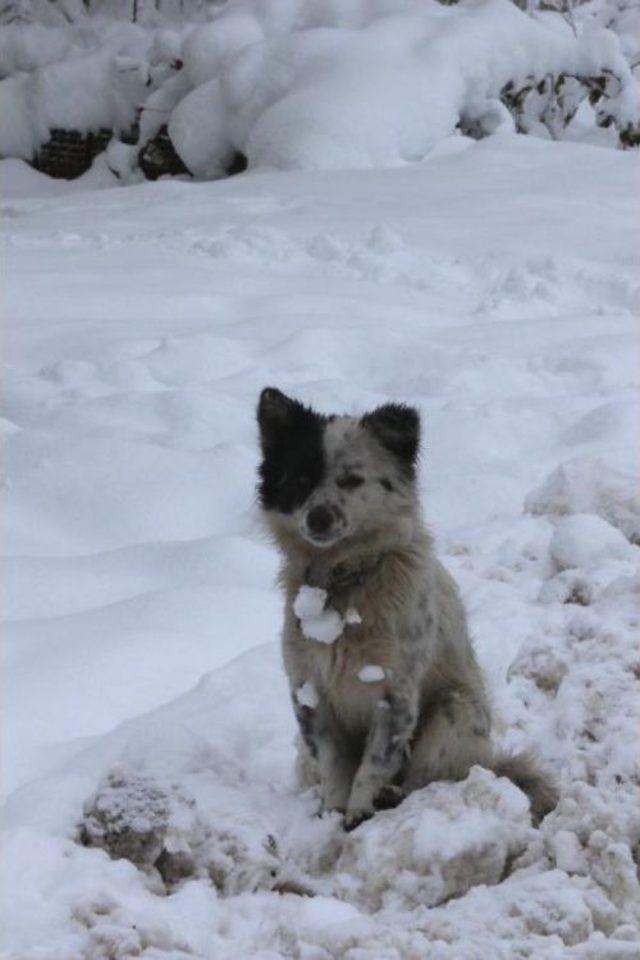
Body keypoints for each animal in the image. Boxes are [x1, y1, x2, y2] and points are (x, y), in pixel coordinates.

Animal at [258, 386, 556, 828]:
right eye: (300, 479)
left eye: (352, 480)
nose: (319, 518)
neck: (345, 583)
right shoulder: (309, 691)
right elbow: (333, 764)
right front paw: (333, 810)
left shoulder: (395, 693)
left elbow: (373, 764)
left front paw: (358, 811)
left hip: (453, 710)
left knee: (424, 779)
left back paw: (393, 794)